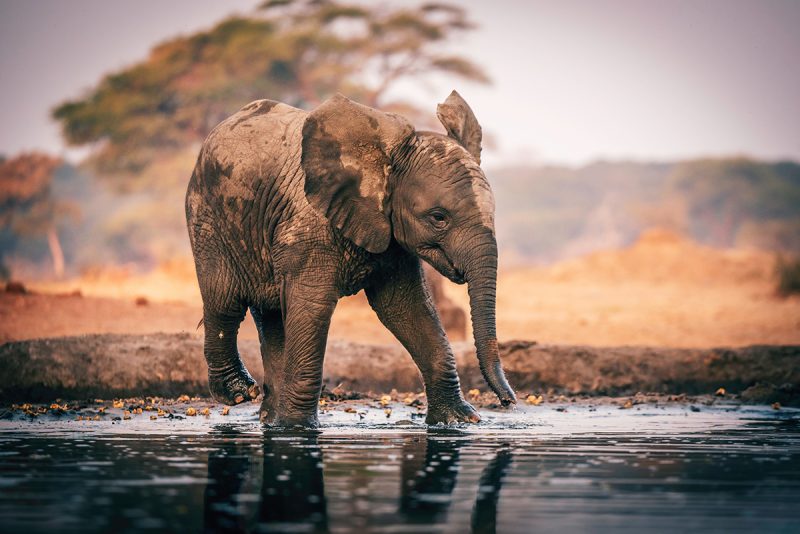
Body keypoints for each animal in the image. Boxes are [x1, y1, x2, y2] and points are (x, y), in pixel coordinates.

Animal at [184, 90, 516, 430]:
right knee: (225, 300)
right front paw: (299, 429)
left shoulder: (391, 236)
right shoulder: (309, 227)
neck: (387, 160)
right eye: (439, 217)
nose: (508, 402)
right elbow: (313, 307)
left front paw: (458, 422)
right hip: (208, 215)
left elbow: (406, 308)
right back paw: (238, 393)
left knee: (270, 315)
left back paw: (269, 419)